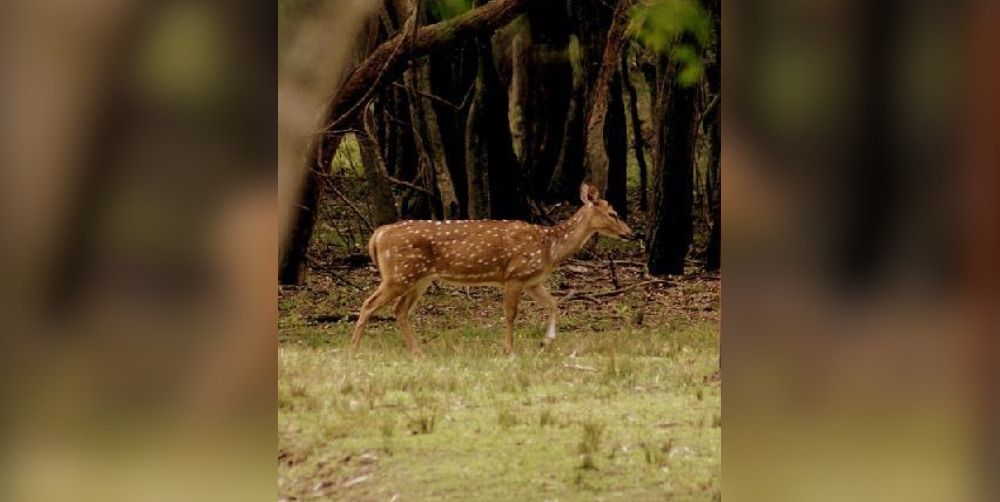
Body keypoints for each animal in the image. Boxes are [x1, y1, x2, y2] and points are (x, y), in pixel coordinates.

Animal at [354, 182, 632, 354]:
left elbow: (554, 303)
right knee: (369, 304)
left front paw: (546, 342)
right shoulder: (516, 274)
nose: (630, 233)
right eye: (614, 213)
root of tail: (377, 235)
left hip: (417, 278)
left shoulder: (533, 280)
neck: (549, 247)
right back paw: (353, 349)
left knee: (399, 310)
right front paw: (509, 350)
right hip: (399, 274)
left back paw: (419, 352)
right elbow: (510, 314)